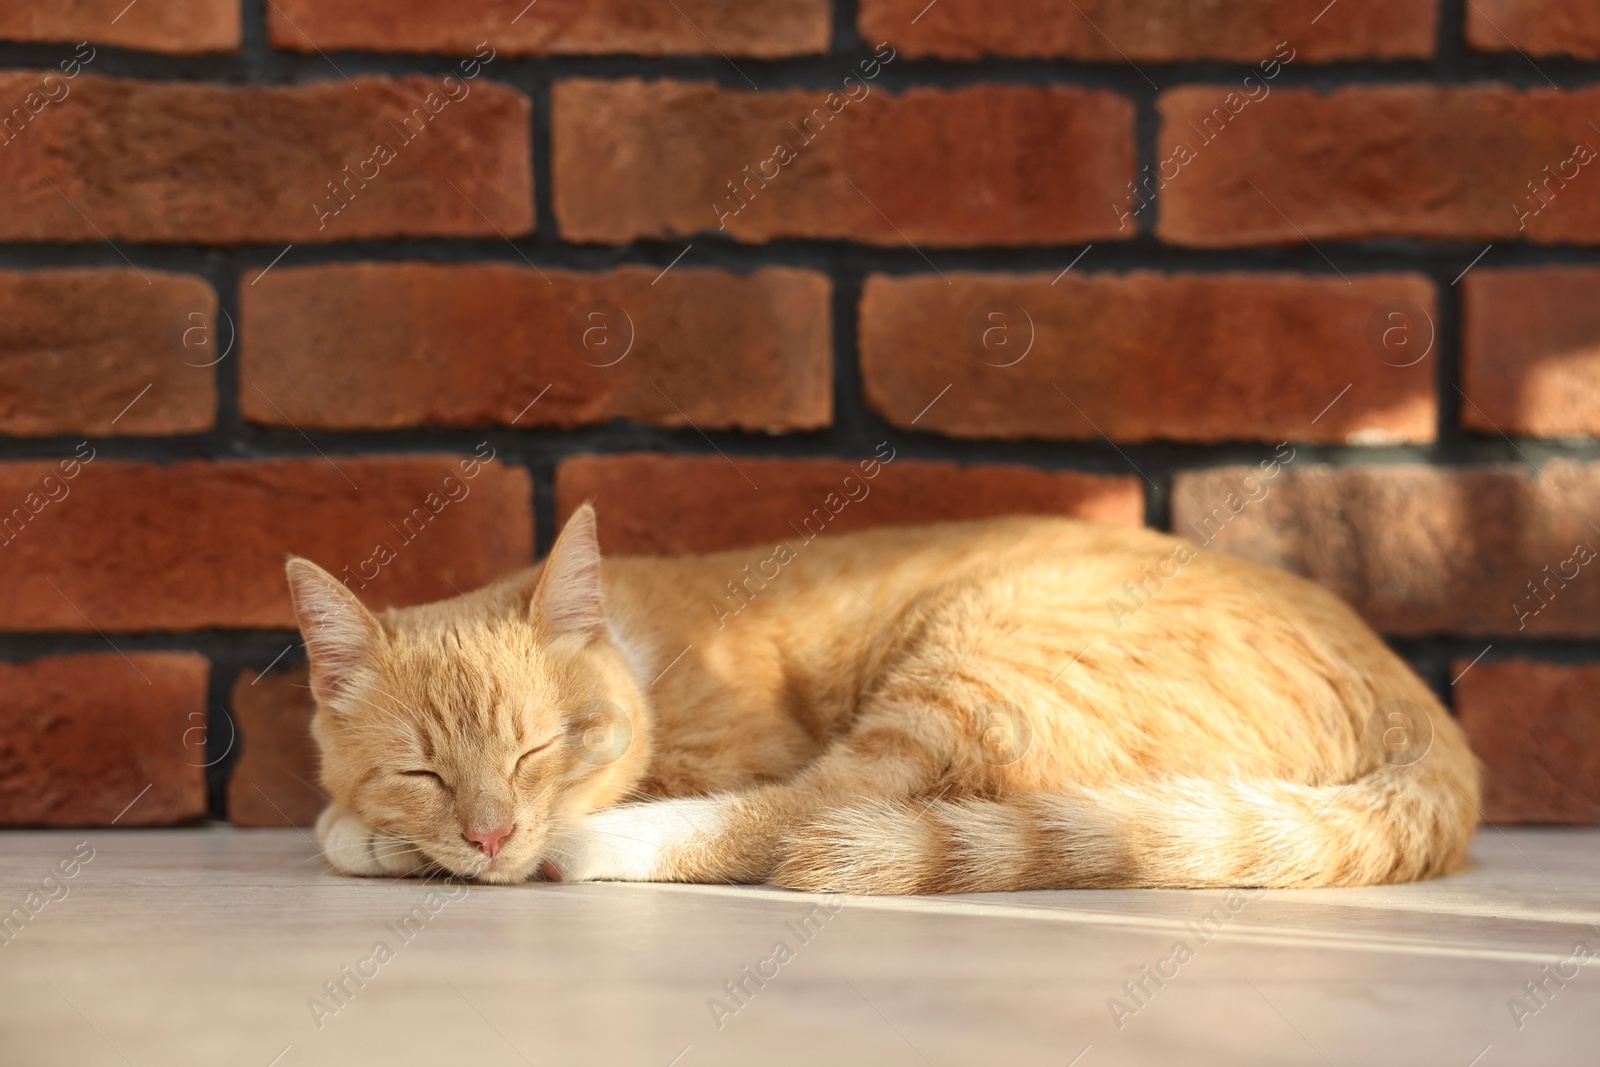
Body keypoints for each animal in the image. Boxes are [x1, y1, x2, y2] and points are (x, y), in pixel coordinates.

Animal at [284, 502, 1472, 895]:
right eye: (422, 768)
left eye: (547, 747)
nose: (491, 833)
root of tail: (1418, 704)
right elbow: (350, 818)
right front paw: (387, 835)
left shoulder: (732, 747)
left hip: (980, 666)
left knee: (818, 811)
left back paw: (600, 847)